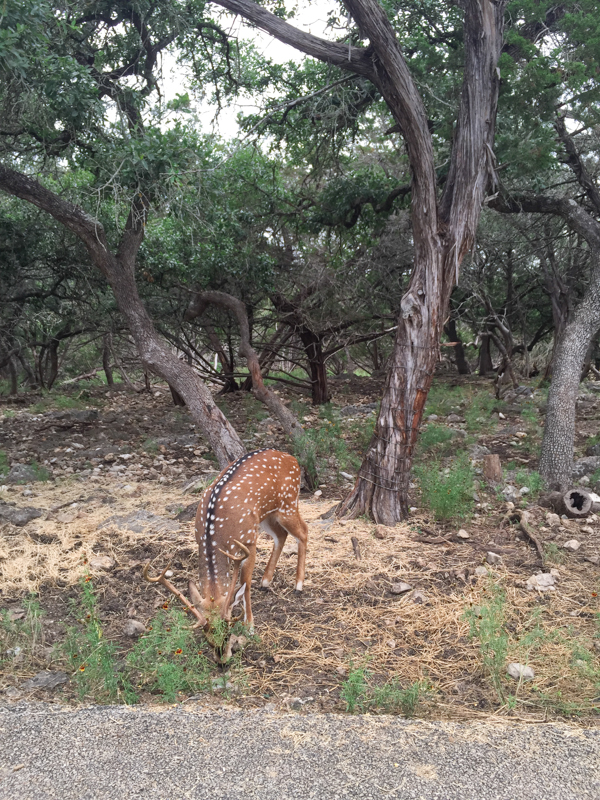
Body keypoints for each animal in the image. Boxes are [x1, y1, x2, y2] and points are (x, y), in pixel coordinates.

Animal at [142, 450, 308, 632]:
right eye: (205, 629)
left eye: (224, 623)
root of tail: (292, 458)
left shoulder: (249, 540)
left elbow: (245, 582)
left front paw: (249, 625)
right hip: (266, 515)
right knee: (281, 535)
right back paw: (265, 581)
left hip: (288, 504)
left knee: (303, 531)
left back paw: (298, 586)